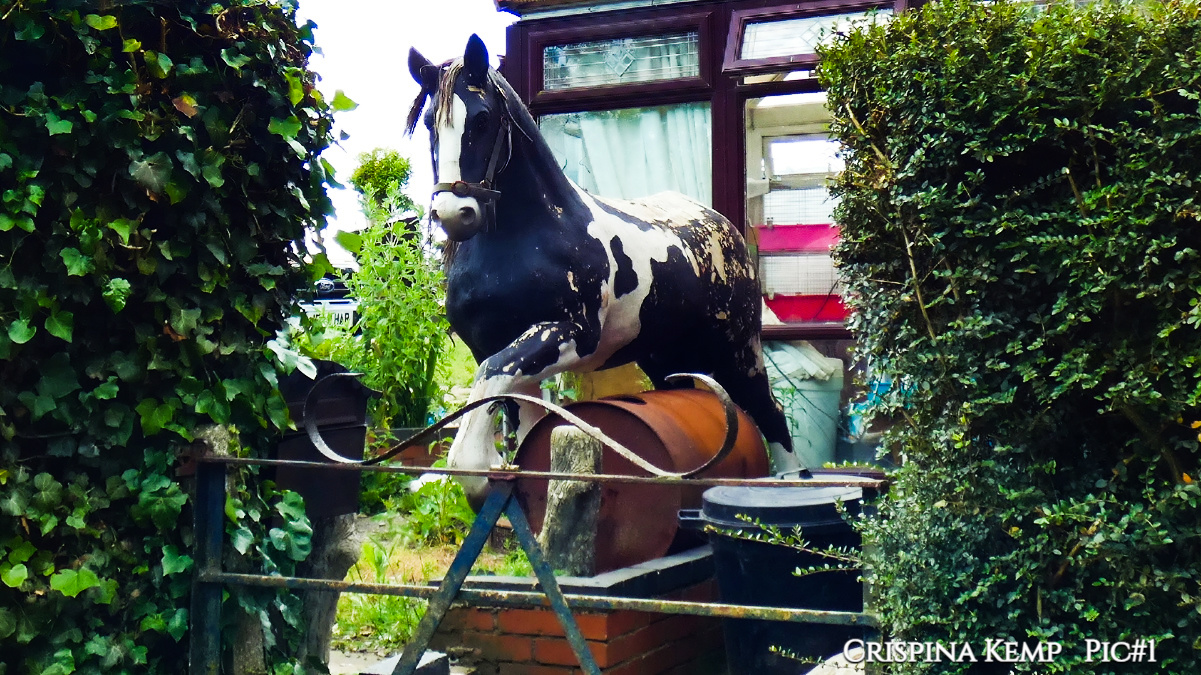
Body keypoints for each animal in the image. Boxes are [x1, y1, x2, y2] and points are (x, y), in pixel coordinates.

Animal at [407, 35, 796, 506]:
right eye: (430, 124)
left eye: (481, 119)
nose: (454, 212)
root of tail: (722, 227)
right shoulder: (493, 349)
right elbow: (517, 424)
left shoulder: (571, 333)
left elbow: (484, 407)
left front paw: (481, 474)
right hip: (666, 357)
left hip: (738, 351)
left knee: (772, 415)